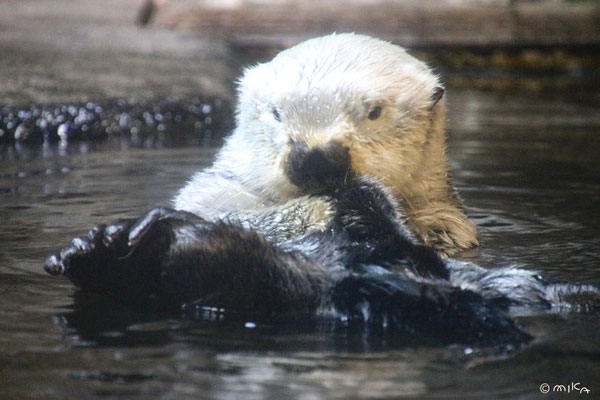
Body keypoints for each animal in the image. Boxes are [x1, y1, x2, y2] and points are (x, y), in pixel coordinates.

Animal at [43, 33, 600, 346]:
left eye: (373, 111)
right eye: (276, 113)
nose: (315, 155)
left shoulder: (451, 229)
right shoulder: (215, 194)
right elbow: (236, 208)